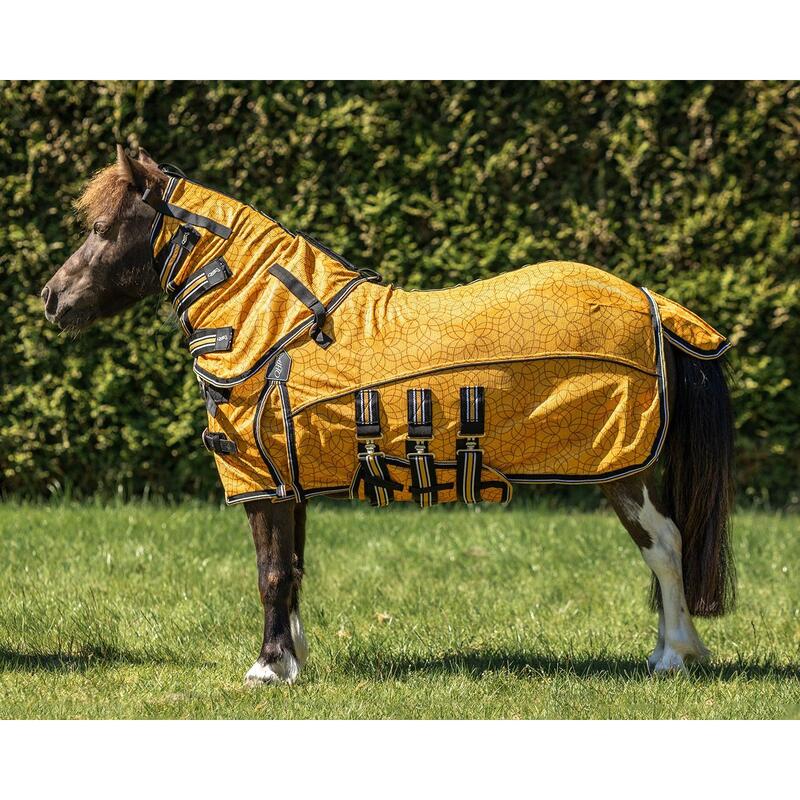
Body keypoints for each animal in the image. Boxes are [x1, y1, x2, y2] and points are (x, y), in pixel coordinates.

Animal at [41, 145, 735, 684]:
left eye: (101, 227)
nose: (51, 298)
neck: (274, 327)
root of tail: (652, 302)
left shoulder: (262, 485)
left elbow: (270, 572)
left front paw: (266, 668)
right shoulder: (289, 480)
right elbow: (293, 569)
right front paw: (293, 661)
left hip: (624, 472)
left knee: (665, 545)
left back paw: (675, 655)